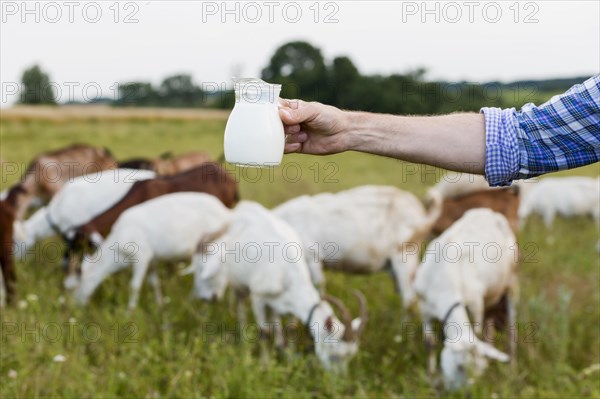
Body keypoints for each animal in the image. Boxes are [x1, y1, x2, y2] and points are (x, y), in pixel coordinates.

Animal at [74, 192, 232, 310]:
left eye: (78, 284)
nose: (76, 306)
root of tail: (226, 212)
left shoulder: (142, 256)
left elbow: (134, 285)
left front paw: (130, 311)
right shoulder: (152, 261)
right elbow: (154, 283)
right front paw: (160, 306)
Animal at [192, 202, 370, 374]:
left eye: (350, 356)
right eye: (334, 353)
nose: (339, 379)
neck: (287, 273)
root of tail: (241, 208)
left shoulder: (287, 301)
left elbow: (291, 329)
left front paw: (290, 361)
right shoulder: (258, 297)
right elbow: (264, 333)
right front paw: (264, 366)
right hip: (238, 281)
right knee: (241, 305)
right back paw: (244, 342)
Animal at [414, 209, 516, 390]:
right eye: (459, 367)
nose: (463, 393)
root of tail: (489, 212)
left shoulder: (476, 305)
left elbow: (477, 331)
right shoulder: (424, 307)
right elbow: (429, 343)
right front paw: (430, 374)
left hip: (510, 282)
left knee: (510, 327)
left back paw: (512, 370)